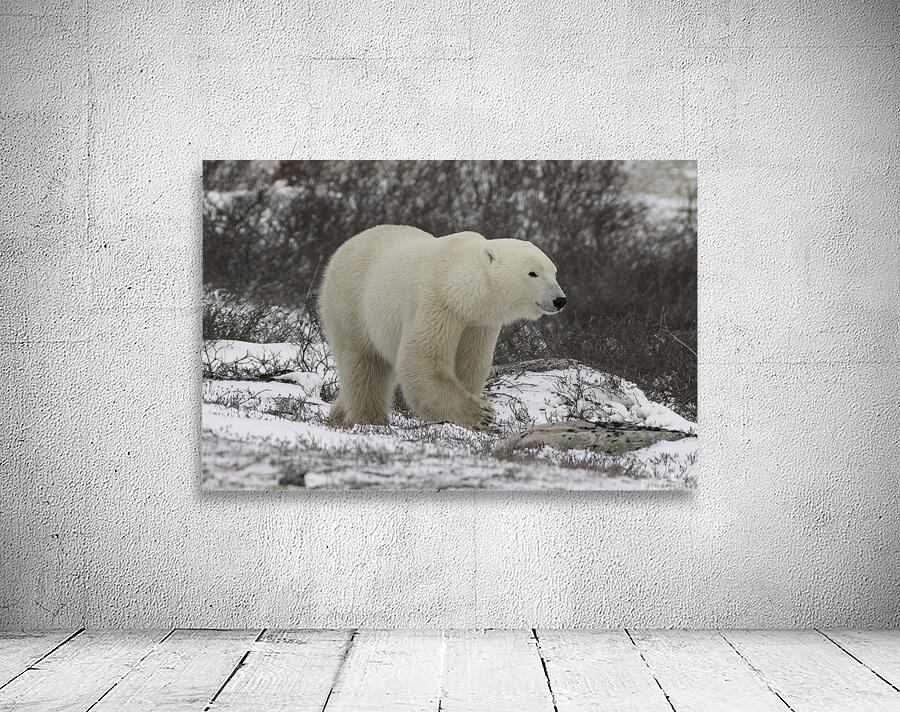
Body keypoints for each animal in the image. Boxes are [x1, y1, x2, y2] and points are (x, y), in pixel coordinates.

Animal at [318, 225, 567, 430]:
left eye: (554, 272)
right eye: (533, 273)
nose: (560, 300)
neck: (458, 286)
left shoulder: (478, 322)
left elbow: (470, 364)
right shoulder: (436, 303)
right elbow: (422, 359)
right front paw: (480, 413)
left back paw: (337, 416)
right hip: (352, 303)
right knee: (364, 363)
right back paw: (369, 418)